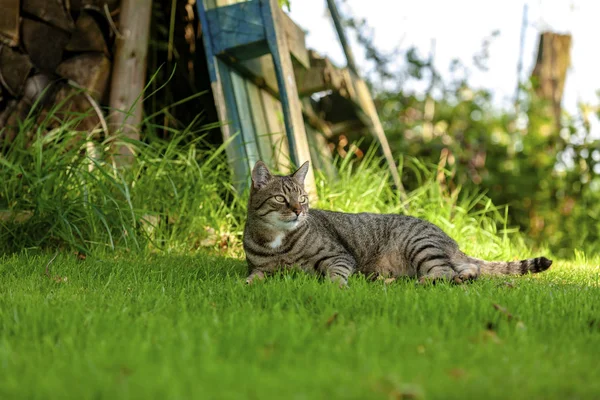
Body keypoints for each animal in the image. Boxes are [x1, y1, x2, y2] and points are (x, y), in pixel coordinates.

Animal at [241, 161, 552, 286]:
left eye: (303, 198)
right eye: (281, 199)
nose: (298, 211)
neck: (279, 241)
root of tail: (450, 240)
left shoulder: (339, 257)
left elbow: (335, 275)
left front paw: (334, 286)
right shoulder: (261, 268)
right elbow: (254, 276)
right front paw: (245, 284)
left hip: (420, 246)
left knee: (444, 273)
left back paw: (416, 282)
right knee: (466, 269)